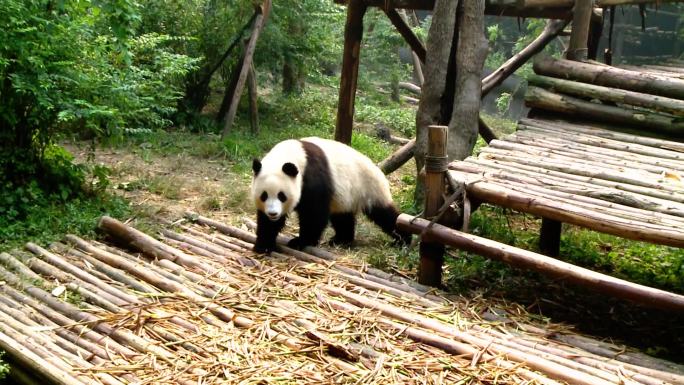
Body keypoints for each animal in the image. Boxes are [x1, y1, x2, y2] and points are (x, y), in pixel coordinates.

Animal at [251, 136, 412, 254]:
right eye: (264, 196)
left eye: (281, 196)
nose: (273, 213)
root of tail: (379, 170)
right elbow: (267, 222)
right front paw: (263, 245)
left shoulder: (313, 177)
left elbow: (314, 213)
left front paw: (300, 242)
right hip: (346, 197)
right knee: (342, 217)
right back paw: (341, 239)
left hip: (369, 188)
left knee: (385, 215)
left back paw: (403, 240)